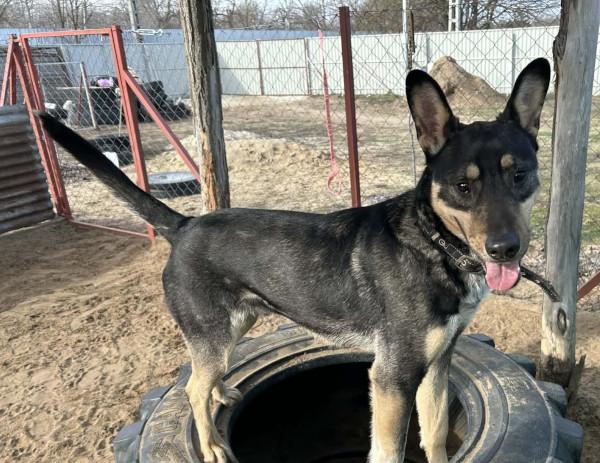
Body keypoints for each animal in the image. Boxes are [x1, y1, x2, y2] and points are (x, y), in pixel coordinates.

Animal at [37, 57, 550, 463]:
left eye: (520, 175)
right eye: (464, 187)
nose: (505, 250)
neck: (434, 243)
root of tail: (183, 225)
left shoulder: (437, 367)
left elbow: (437, 434)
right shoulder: (392, 377)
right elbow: (388, 449)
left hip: (233, 324)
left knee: (205, 375)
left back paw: (221, 390)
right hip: (212, 329)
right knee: (190, 389)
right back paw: (211, 446)